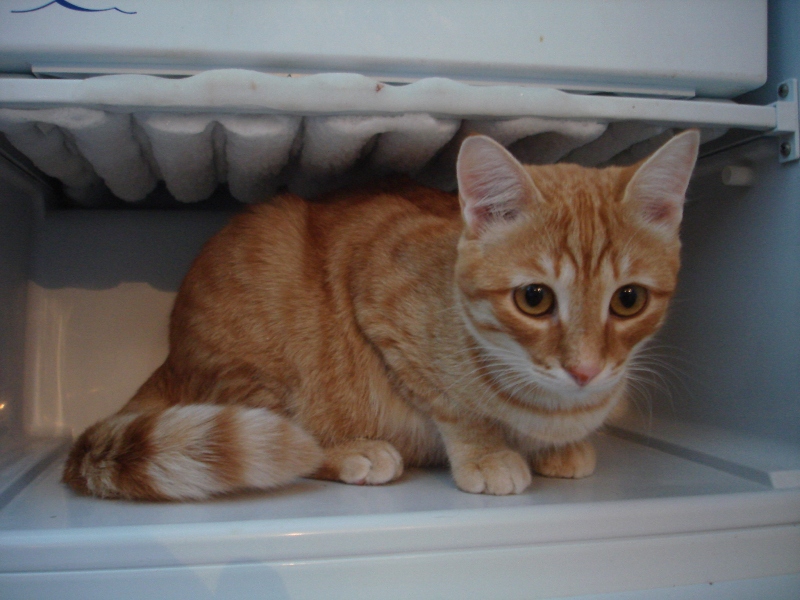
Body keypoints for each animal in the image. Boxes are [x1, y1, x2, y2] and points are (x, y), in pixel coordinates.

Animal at [62, 130, 700, 501]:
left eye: (628, 300)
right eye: (535, 299)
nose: (586, 371)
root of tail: (173, 356)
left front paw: (554, 450)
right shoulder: (377, 286)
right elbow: (454, 408)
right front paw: (488, 453)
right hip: (260, 366)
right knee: (293, 442)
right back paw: (352, 452)